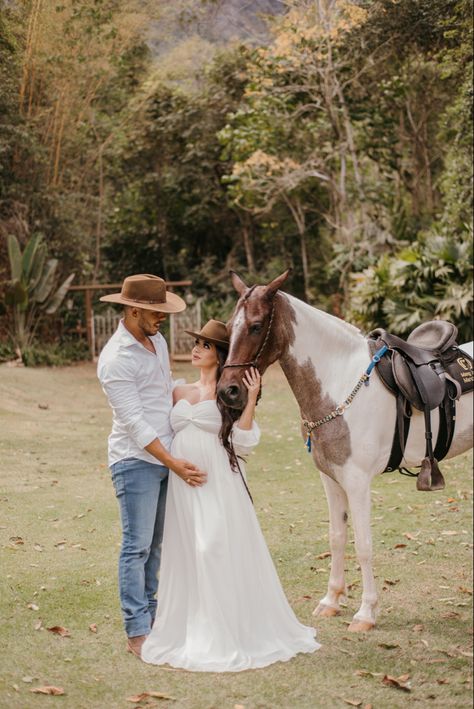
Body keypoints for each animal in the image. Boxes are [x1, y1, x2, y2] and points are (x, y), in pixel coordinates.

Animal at [218, 270, 474, 632]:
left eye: (255, 326)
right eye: (229, 326)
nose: (227, 391)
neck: (337, 382)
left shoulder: (357, 481)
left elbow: (363, 545)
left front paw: (366, 613)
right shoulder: (331, 479)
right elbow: (336, 536)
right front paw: (331, 600)